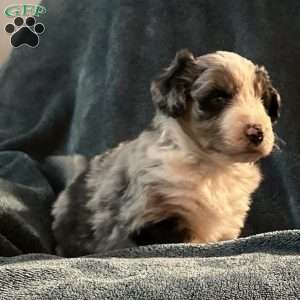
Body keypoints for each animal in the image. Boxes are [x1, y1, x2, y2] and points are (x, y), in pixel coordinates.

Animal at [52, 50, 282, 256]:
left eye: (263, 100)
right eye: (218, 98)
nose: (257, 133)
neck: (213, 166)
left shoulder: (229, 223)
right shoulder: (157, 216)